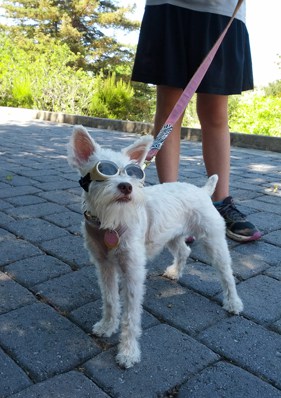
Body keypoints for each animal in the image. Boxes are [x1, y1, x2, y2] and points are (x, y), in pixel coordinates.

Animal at [66, 126, 242, 368]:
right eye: (104, 171)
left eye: (132, 173)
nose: (126, 186)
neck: (111, 223)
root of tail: (202, 190)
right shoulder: (104, 266)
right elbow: (110, 300)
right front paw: (107, 326)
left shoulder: (133, 271)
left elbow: (131, 315)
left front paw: (128, 352)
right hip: (171, 236)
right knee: (184, 251)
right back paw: (175, 272)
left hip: (214, 241)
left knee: (226, 273)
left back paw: (233, 302)